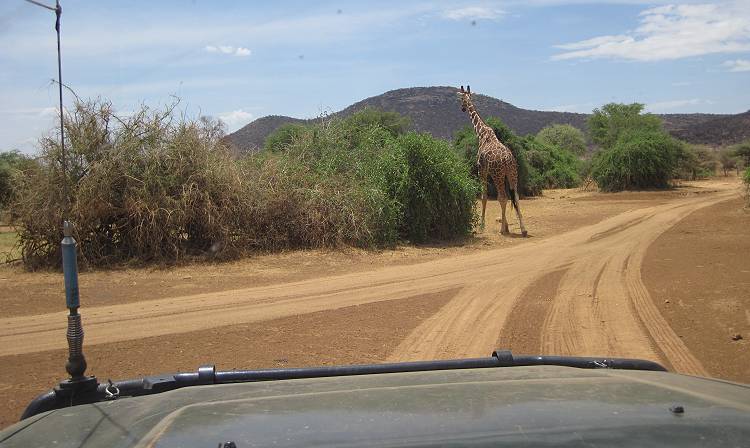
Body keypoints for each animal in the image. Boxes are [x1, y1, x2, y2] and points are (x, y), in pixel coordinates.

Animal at [458, 85, 528, 238]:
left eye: (461, 99)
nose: (462, 108)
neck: (481, 133)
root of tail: (508, 160)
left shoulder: (482, 170)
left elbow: (484, 196)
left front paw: (482, 226)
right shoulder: (490, 172)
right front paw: (506, 225)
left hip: (498, 174)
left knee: (503, 197)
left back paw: (502, 230)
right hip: (512, 174)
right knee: (515, 197)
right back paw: (523, 229)